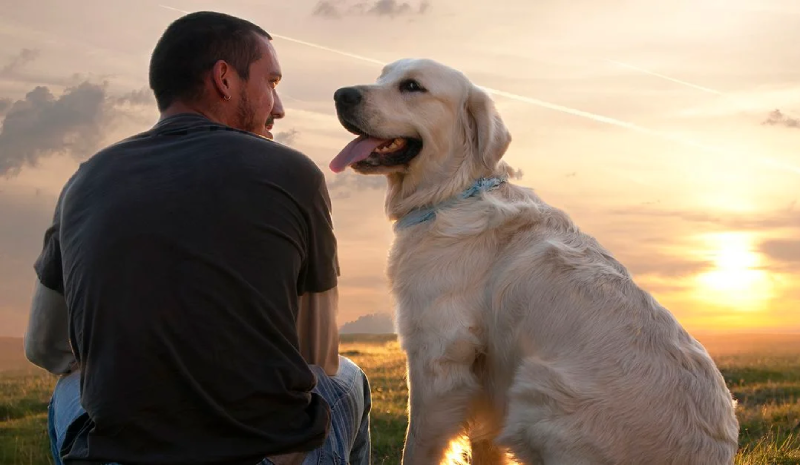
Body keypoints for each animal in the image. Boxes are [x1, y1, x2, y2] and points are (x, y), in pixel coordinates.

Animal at [328, 58, 740, 464]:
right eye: (382, 76)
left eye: (412, 86)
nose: (341, 94)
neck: (453, 194)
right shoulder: (485, 381)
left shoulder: (438, 356)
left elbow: (417, 445)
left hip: (536, 389)